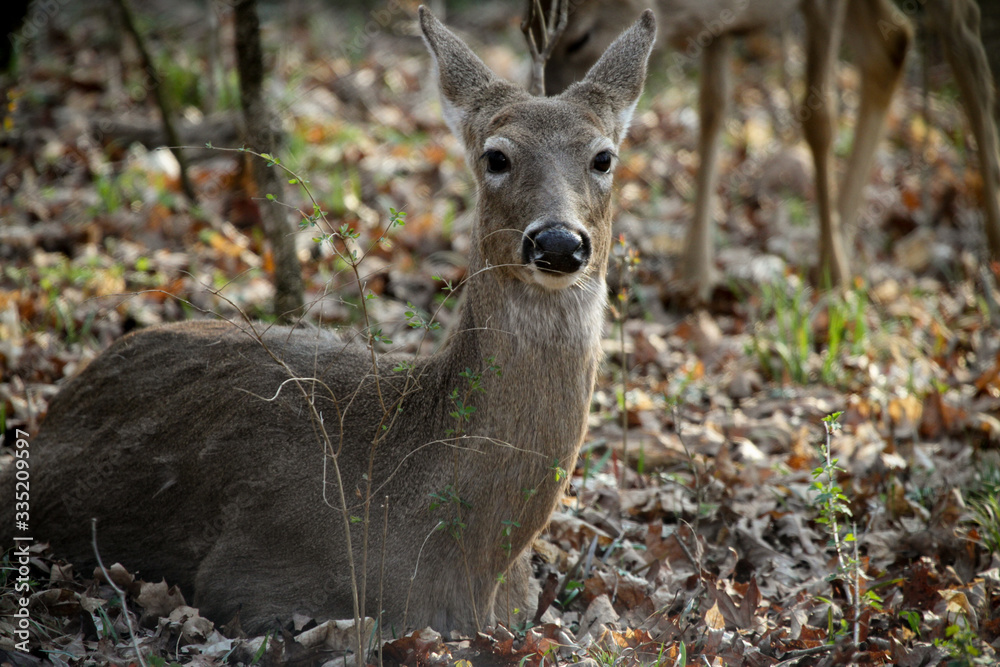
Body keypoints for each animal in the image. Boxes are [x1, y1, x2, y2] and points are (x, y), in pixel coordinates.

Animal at [538, 0, 1000, 302]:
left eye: (579, 39)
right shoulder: (721, 26)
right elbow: (711, 109)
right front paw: (696, 275)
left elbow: (819, 115)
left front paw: (832, 274)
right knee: (893, 42)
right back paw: (845, 228)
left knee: (962, 34)